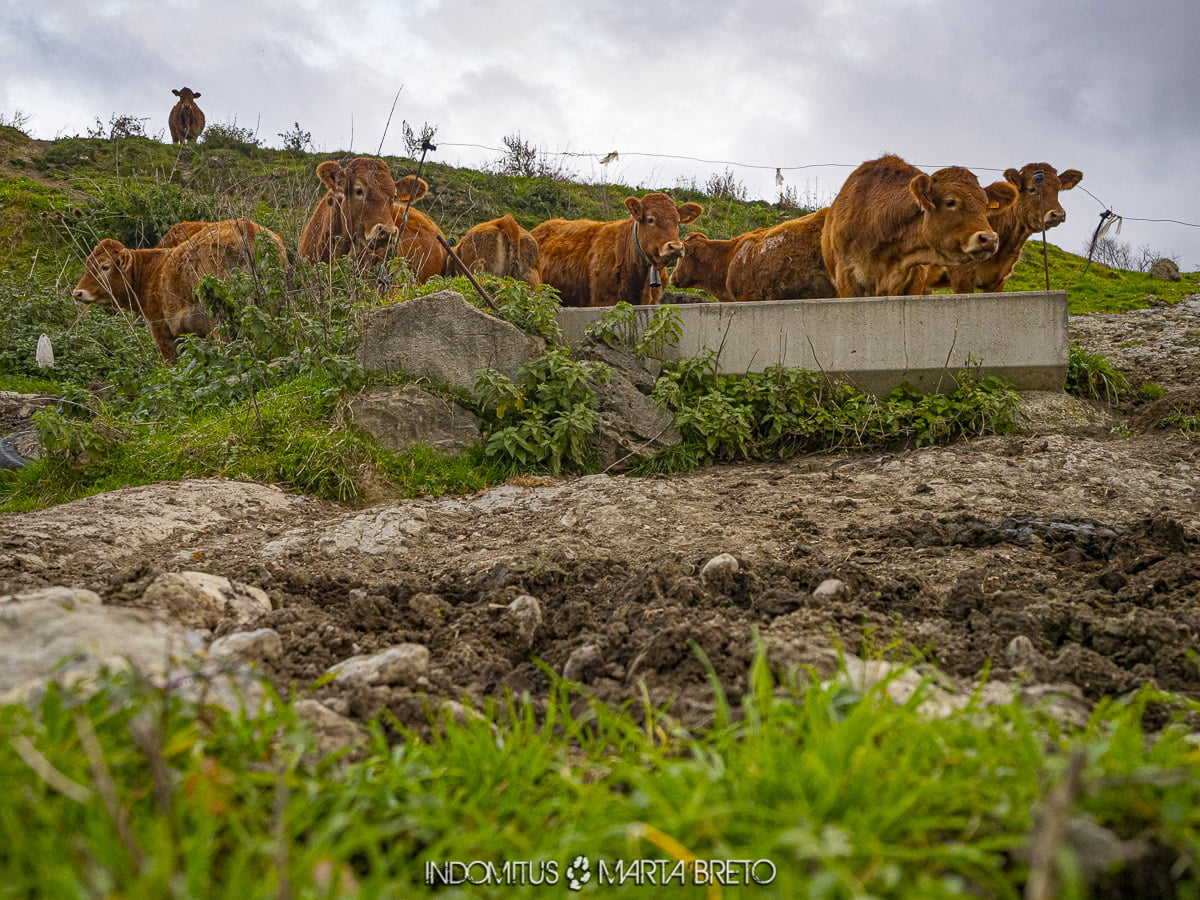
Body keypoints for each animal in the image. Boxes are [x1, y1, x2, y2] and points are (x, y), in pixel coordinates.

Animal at [72, 218, 285, 362]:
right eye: (87, 264)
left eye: (105, 266)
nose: (77, 292)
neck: (152, 271)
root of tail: (247, 228)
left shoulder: (162, 330)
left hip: (220, 314)